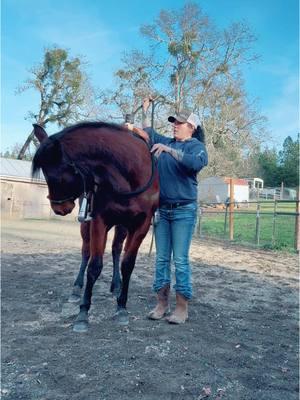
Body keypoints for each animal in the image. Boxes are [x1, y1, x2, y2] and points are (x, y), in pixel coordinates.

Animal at [31, 121, 159, 332]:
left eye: (56, 175)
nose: (59, 208)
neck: (130, 176)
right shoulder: (99, 220)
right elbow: (94, 265)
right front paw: (83, 313)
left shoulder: (140, 225)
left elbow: (127, 264)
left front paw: (121, 307)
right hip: (87, 226)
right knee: (86, 252)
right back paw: (76, 288)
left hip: (122, 227)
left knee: (116, 249)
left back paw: (116, 284)